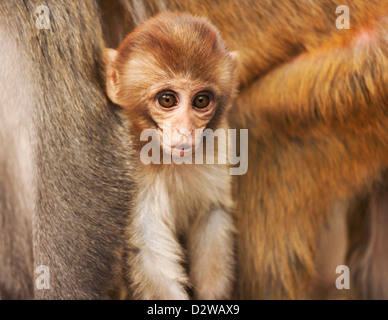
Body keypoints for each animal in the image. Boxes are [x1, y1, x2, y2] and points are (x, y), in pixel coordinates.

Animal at [104, 11, 239, 298]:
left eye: (201, 101)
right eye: (167, 100)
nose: (185, 129)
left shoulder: (219, 146)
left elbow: (212, 213)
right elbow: (147, 248)